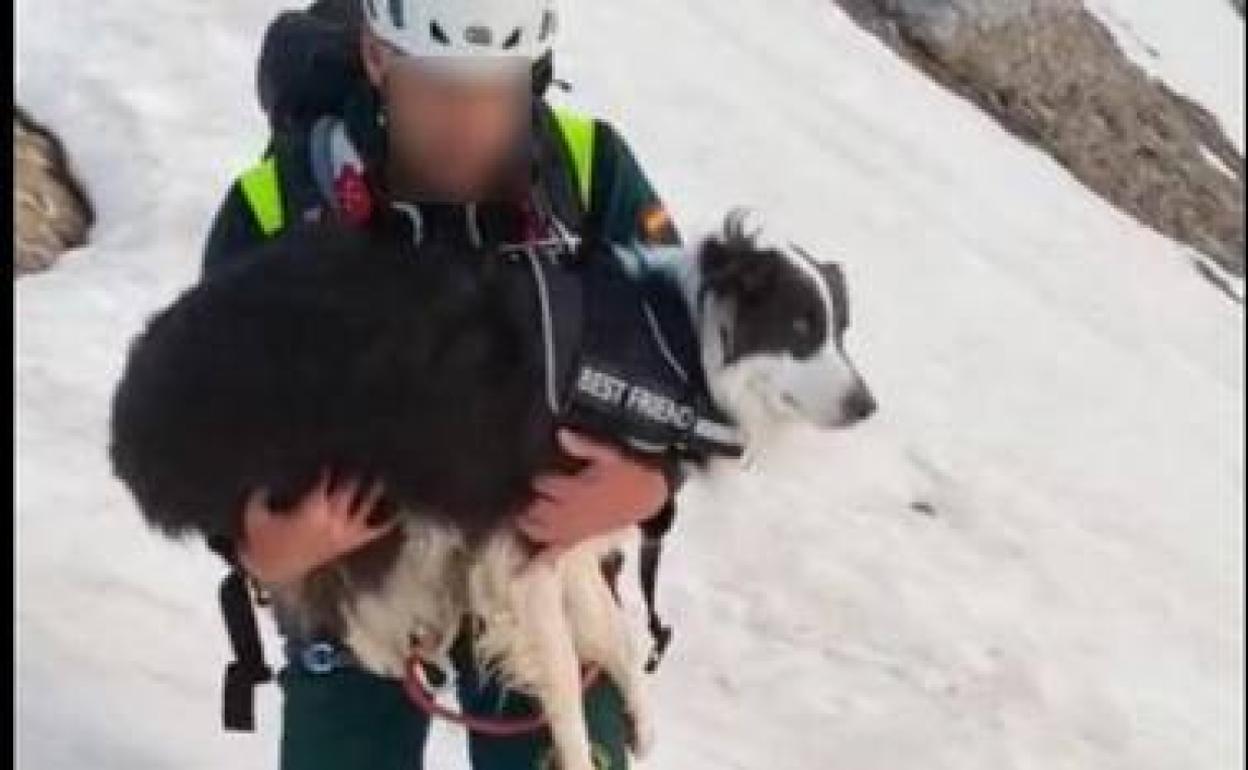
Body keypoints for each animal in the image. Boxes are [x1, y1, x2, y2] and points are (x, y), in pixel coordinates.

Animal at [109, 214, 878, 768]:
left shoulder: (572, 522)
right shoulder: (524, 536)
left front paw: (640, 717)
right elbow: (563, 672)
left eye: (841, 329)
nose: (866, 406)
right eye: (801, 329)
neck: (676, 346)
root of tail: (137, 393)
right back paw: (389, 644)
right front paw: (577, 752)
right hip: (338, 476)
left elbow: (614, 631)